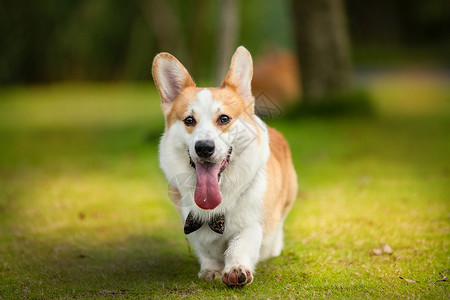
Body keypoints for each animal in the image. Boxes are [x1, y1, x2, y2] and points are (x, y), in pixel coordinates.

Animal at [153, 45, 298, 288]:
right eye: (189, 120)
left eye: (224, 118)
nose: (204, 147)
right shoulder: (192, 224)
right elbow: (206, 250)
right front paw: (210, 270)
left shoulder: (251, 225)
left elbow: (240, 246)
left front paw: (236, 269)